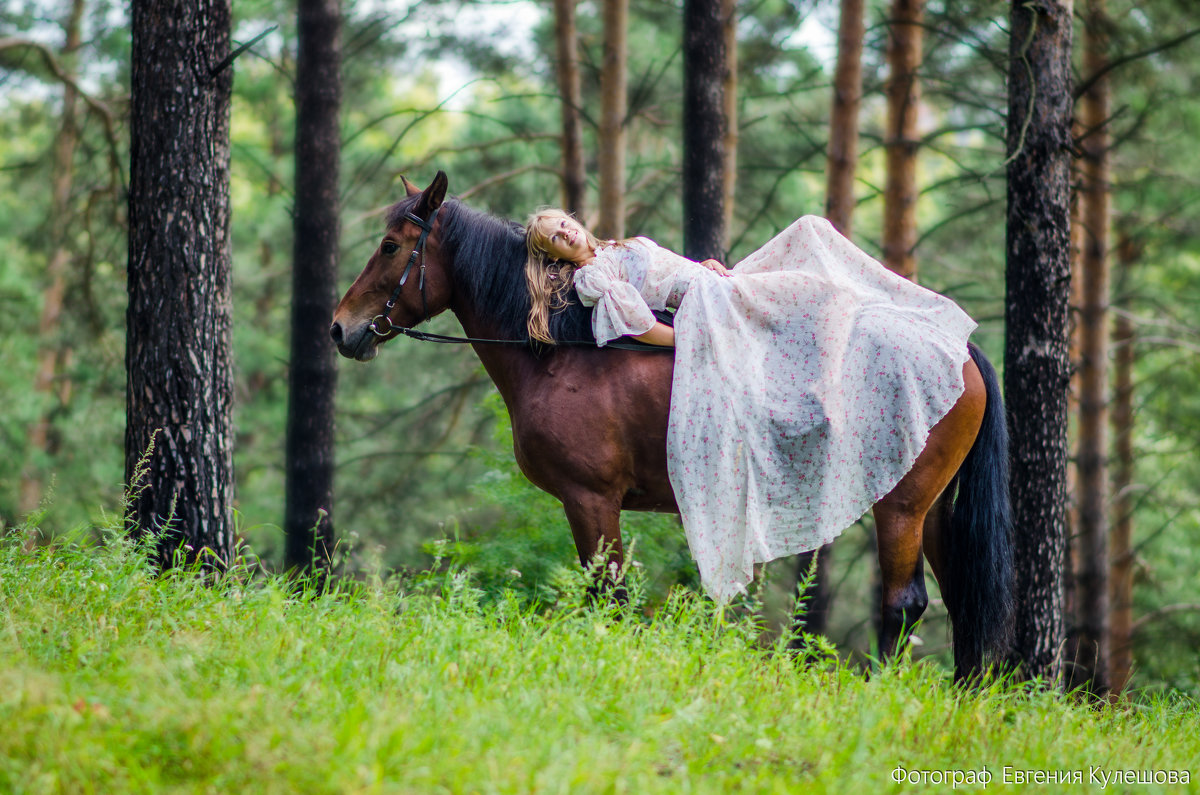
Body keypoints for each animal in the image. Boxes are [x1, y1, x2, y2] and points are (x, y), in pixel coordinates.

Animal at [333, 171, 1017, 682]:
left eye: (391, 246)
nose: (341, 329)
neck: (564, 351)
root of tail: (958, 349)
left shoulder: (591, 500)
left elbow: (608, 599)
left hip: (901, 507)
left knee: (905, 605)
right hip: (932, 509)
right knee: (959, 598)